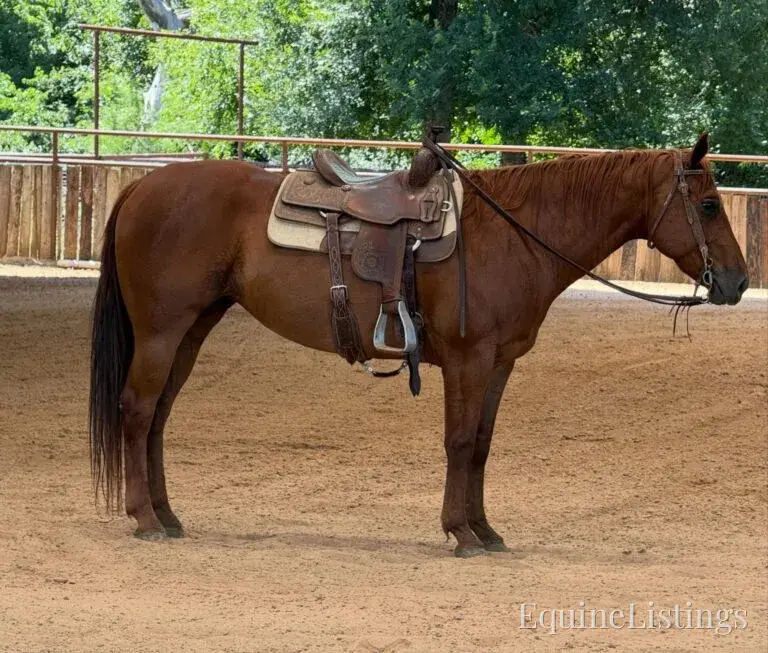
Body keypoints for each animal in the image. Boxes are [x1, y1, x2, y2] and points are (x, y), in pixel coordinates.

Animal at [89, 133, 748, 557]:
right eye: (709, 204)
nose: (738, 282)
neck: (511, 234)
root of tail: (141, 189)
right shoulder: (467, 358)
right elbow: (458, 441)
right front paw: (460, 532)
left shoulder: (498, 364)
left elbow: (481, 444)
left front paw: (486, 530)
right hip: (162, 332)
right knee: (137, 410)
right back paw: (144, 518)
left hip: (192, 330)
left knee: (158, 417)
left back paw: (168, 514)